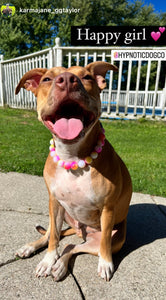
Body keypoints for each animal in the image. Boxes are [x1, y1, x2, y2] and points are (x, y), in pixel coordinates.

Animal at [15, 61, 132, 282]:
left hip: (111, 239)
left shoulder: (108, 210)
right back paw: (32, 248)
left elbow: (104, 242)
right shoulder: (54, 202)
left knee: (73, 246)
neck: (72, 159)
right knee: (54, 234)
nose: (68, 80)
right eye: (47, 79)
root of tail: (79, 232)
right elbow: (53, 237)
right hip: (61, 214)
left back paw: (60, 266)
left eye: (87, 77)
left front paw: (106, 263)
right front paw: (47, 260)